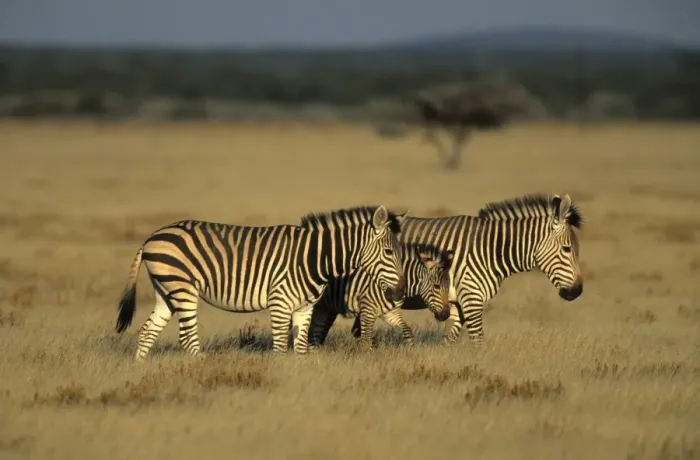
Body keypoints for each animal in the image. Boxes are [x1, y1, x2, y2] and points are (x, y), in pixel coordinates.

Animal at [114, 205, 407, 361]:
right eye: (389, 252)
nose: (401, 291)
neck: (314, 257)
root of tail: (152, 236)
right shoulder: (280, 302)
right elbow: (279, 348)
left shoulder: (304, 307)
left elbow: (300, 348)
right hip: (182, 287)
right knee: (186, 337)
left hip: (166, 290)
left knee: (148, 331)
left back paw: (139, 371)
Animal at [308, 243, 455, 349]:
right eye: (436, 287)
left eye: (449, 287)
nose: (446, 315)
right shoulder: (367, 311)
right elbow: (365, 341)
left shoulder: (390, 313)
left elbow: (408, 331)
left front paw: (411, 352)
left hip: (323, 308)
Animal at [349, 193, 584, 346]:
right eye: (567, 249)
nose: (577, 291)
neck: (490, 250)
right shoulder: (471, 297)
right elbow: (478, 340)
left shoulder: (459, 302)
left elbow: (449, 339)